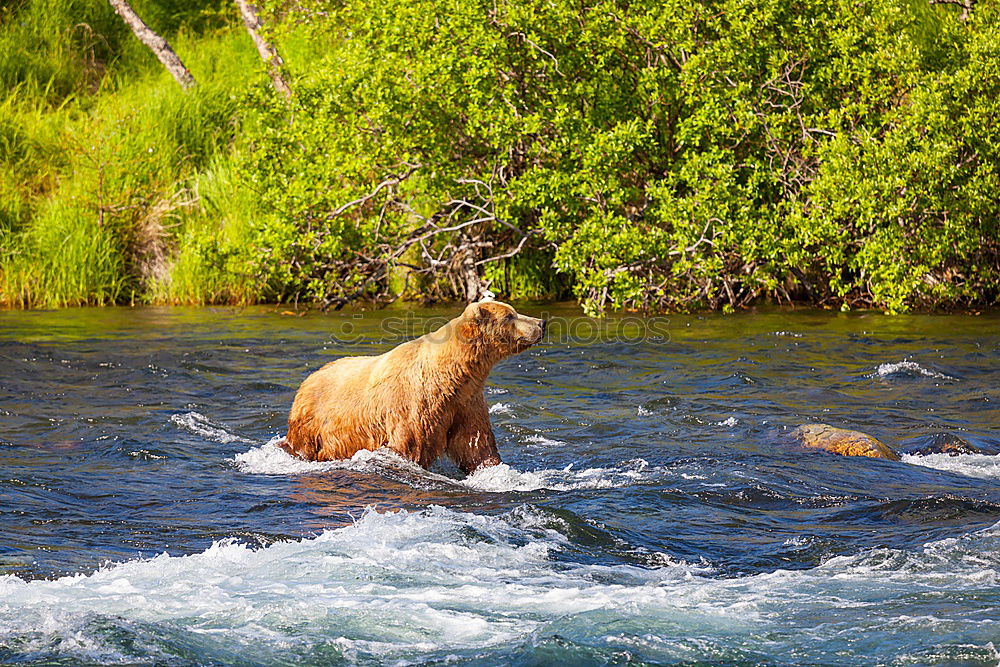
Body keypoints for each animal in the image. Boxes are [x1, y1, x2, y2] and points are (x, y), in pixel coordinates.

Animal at [280, 300, 548, 472]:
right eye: (510, 316)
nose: (541, 322)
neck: (452, 375)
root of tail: (309, 377)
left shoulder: (466, 402)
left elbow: (476, 446)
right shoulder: (414, 405)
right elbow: (411, 446)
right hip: (314, 425)